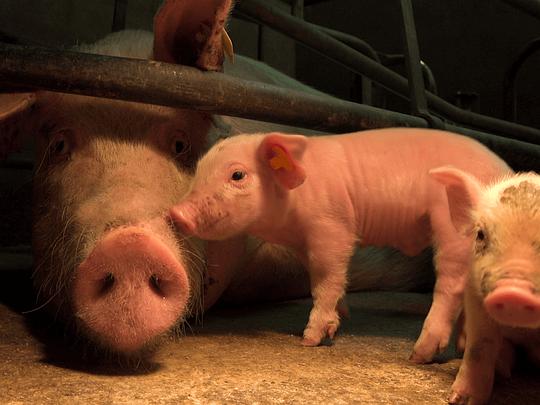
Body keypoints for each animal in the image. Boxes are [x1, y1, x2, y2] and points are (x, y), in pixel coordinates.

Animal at [170, 128, 512, 360]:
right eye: (198, 172)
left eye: (238, 175)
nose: (176, 213)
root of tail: (504, 173)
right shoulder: (304, 243)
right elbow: (323, 280)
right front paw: (337, 322)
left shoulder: (332, 227)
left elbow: (326, 280)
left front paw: (309, 340)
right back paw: (463, 347)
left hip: (453, 227)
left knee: (451, 284)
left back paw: (419, 355)